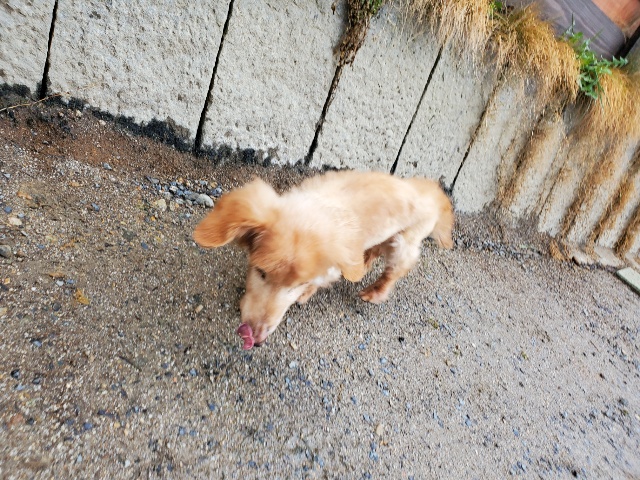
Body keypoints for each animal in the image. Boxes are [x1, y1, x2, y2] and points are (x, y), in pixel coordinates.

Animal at [193, 170, 454, 349]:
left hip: (403, 243)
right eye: (260, 272)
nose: (256, 337)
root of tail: (433, 195)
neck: (317, 212)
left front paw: (305, 294)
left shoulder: (333, 265)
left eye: (296, 286)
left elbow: (319, 280)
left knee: (394, 271)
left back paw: (374, 292)